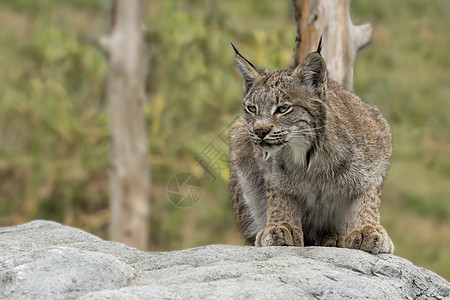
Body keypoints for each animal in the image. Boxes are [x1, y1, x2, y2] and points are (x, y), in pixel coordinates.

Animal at [230, 39, 392, 254]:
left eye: (283, 108)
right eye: (252, 108)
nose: (260, 131)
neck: (309, 156)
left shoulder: (379, 138)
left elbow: (369, 195)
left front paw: (367, 228)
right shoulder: (267, 168)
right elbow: (279, 194)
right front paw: (281, 225)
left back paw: (335, 235)